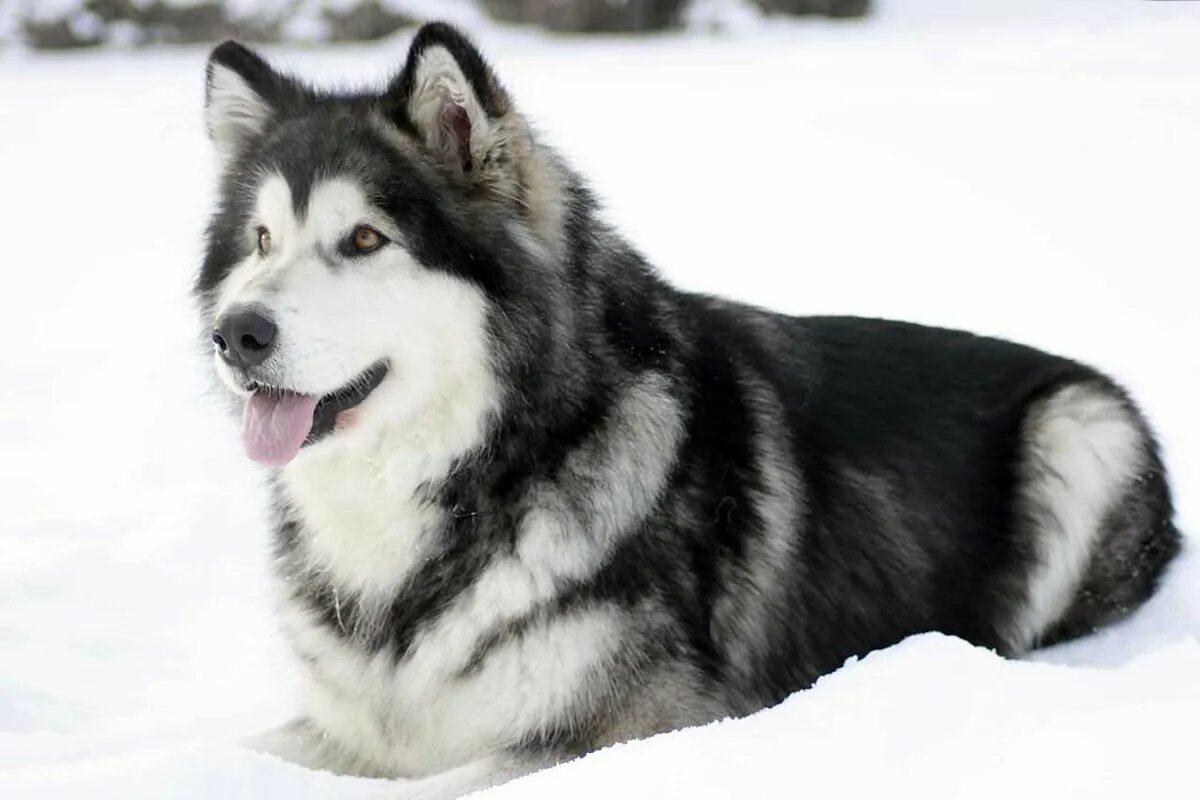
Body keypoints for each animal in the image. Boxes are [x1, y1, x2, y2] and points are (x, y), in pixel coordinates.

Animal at [196, 21, 1180, 796]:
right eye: (262, 241)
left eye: (365, 239)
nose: (234, 334)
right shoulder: (356, 725)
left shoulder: (644, 721)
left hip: (1080, 428)